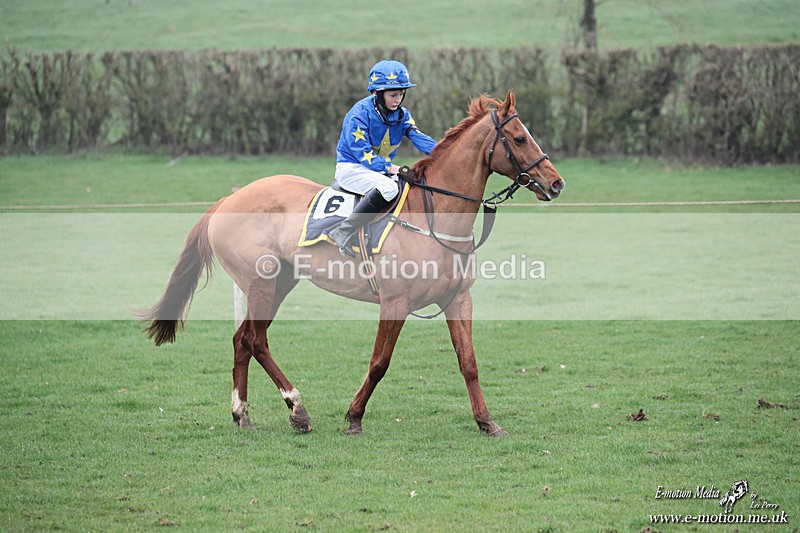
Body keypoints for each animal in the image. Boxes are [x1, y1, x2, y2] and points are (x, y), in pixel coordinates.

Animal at [137, 90, 565, 436]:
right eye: (520, 137)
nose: (556, 183)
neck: (433, 215)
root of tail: (229, 198)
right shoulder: (395, 303)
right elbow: (379, 362)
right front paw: (354, 416)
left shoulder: (458, 298)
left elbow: (469, 362)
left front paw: (486, 421)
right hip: (260, 283)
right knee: (256, 340)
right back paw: (297, 409)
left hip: (279, 283)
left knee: (242, 339)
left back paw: (243, 414)